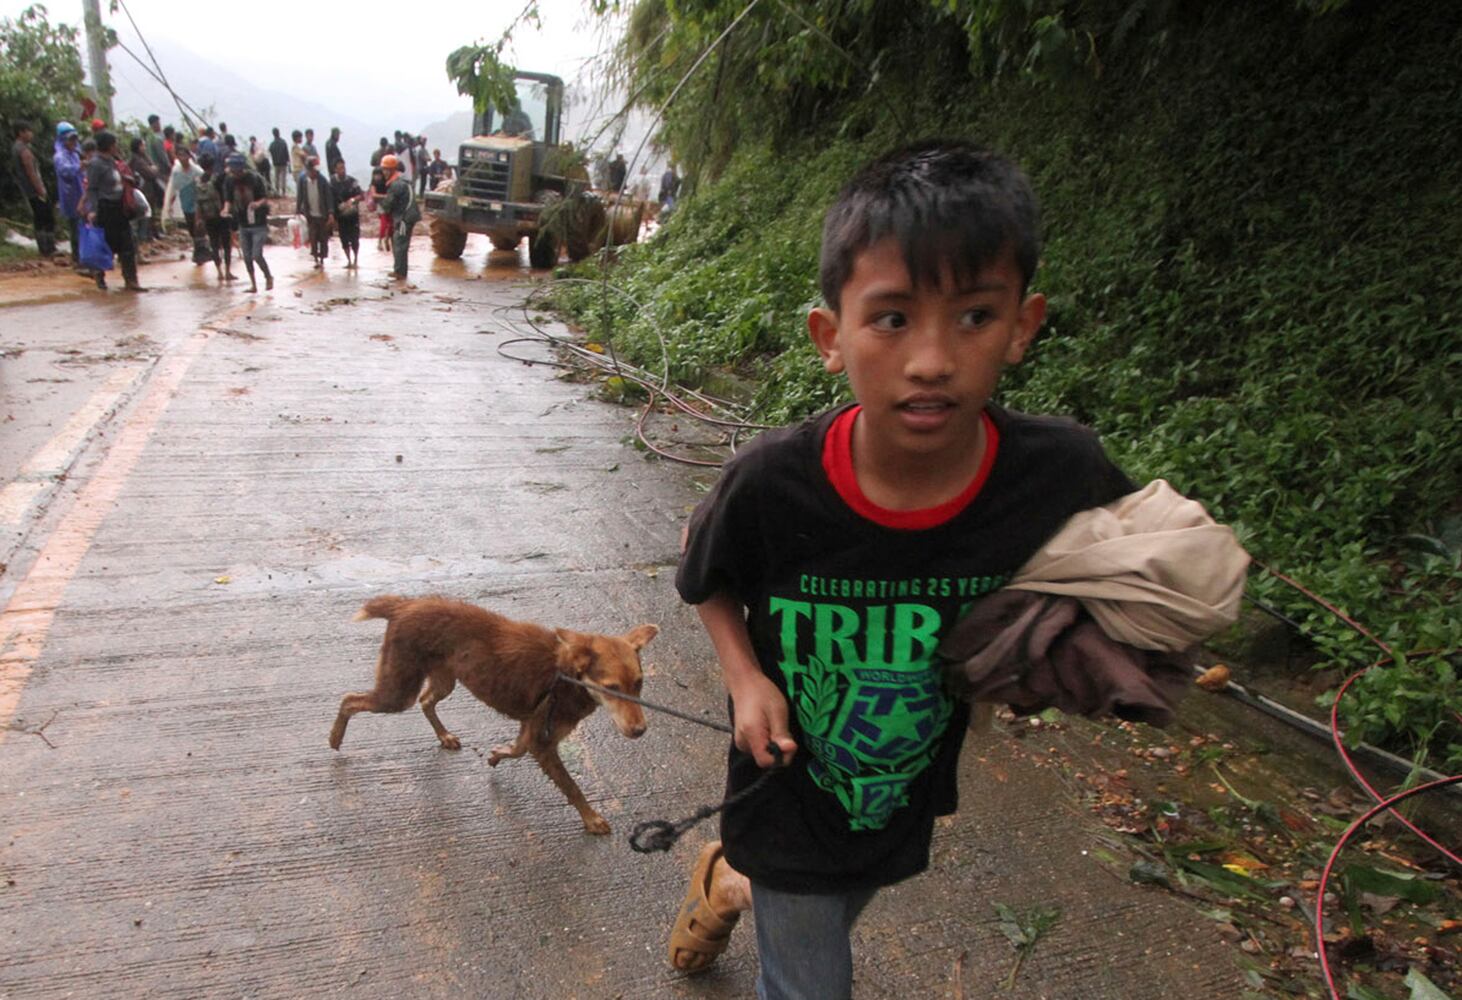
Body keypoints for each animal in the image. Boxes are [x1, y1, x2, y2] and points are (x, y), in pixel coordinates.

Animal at [331, 596, 657, 830]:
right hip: (398, 693)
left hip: (443, 680)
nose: (640, 730)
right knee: (349, 700)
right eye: (612, 688)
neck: (566, 676)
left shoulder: (533, 732)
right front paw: (592, 819)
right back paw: (335, 738)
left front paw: (496, 755)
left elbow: (516, 750)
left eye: (639, 683)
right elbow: (571, 786)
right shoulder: (543, 741)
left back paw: (444, 736)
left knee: (426, 701)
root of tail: (404, 604)